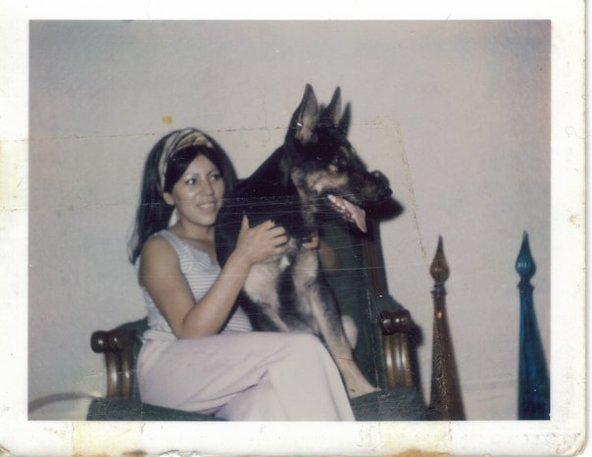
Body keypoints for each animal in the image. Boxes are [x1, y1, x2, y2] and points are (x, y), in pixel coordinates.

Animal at [216, 85, 393, 398]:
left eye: (354, 159)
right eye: (339, 163)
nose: (388, 191)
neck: (283, 213)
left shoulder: (315, 286)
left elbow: (338, 348)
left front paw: (362, 390)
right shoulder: (264, 307)